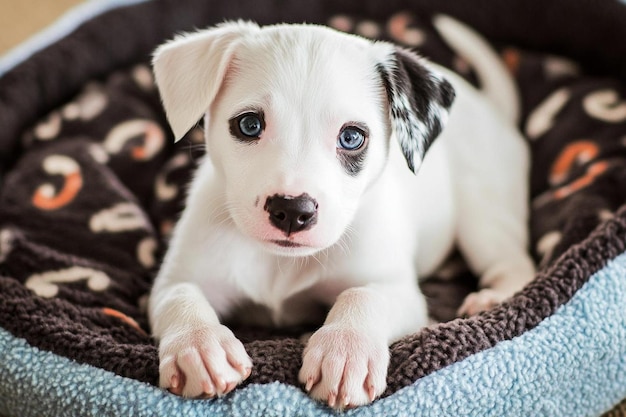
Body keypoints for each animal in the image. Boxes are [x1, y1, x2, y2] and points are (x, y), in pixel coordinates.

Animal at [146, 15, 532, 406]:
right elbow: (180, 296)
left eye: (351, 137)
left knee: (514, 263)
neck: (281, 263)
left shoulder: (400, 291)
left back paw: (495, 296)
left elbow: (363, 294)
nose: (291, 210)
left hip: (482, 218)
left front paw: (346, 349)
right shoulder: (176, 280)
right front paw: (200, 345)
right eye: (249, 125)